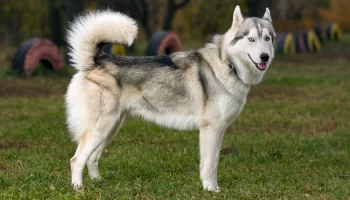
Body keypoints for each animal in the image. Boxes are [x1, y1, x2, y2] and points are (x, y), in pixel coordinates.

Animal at [66, 5, 276, 191]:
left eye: (267, 38)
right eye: (251, 39)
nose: (264, 57)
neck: (228, 64)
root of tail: (97, 60)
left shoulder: (219, 131)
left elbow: (213, 162)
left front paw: (213, 188)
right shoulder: (211, 129)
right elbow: (209, 166)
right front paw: (210, 189)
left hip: (110, 129)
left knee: (92, 159)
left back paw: (97, 183)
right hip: (100, 129)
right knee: (76, 160)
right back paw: (79, 189)